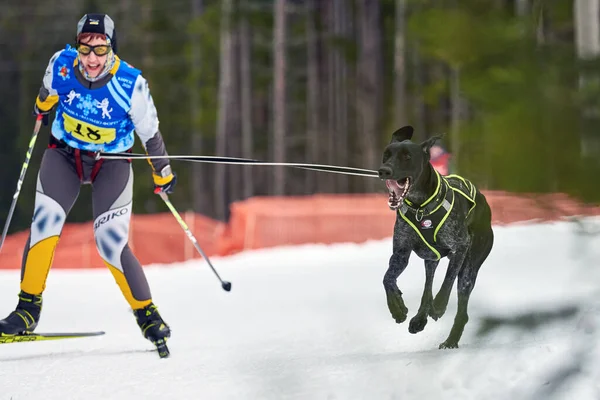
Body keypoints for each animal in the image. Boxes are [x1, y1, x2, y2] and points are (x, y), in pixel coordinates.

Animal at [378, 126, 494, 348]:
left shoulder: (460, 247)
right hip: (431, 259)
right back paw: (419, 319)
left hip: (469, 268)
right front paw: (396, 307)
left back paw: (450, 340)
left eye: (407, 156)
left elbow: (447, 280)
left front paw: (439, 305)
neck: (420, 207)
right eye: (386, 154)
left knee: (461, 308)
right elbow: (387, 278)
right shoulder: (401, 253)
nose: (384, 170)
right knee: (427, 287)